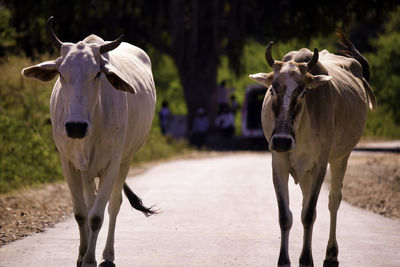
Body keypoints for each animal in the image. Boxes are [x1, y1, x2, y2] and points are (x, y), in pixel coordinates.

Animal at [21, 17, 156, 267]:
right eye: (61, 73)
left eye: (97, 74)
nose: (75, 126)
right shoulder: (68, 163)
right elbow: (81, 213)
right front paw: (81, 255)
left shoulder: (112, 164)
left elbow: (96, 216)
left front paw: (91, 259)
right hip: (87, 170)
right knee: (90, 201)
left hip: (125, 159)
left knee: (113, 204)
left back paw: (108, 254)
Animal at [248, 33, 376, 267]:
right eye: (272, 89)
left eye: (303, 92)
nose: (281, 141)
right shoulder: (279, 164)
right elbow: (285, 215)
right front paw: (284, 260)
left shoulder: (319, 166)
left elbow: (308, 214)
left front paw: (306, 259)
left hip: (341, 158)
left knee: (333, 201)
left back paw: (331, 254)